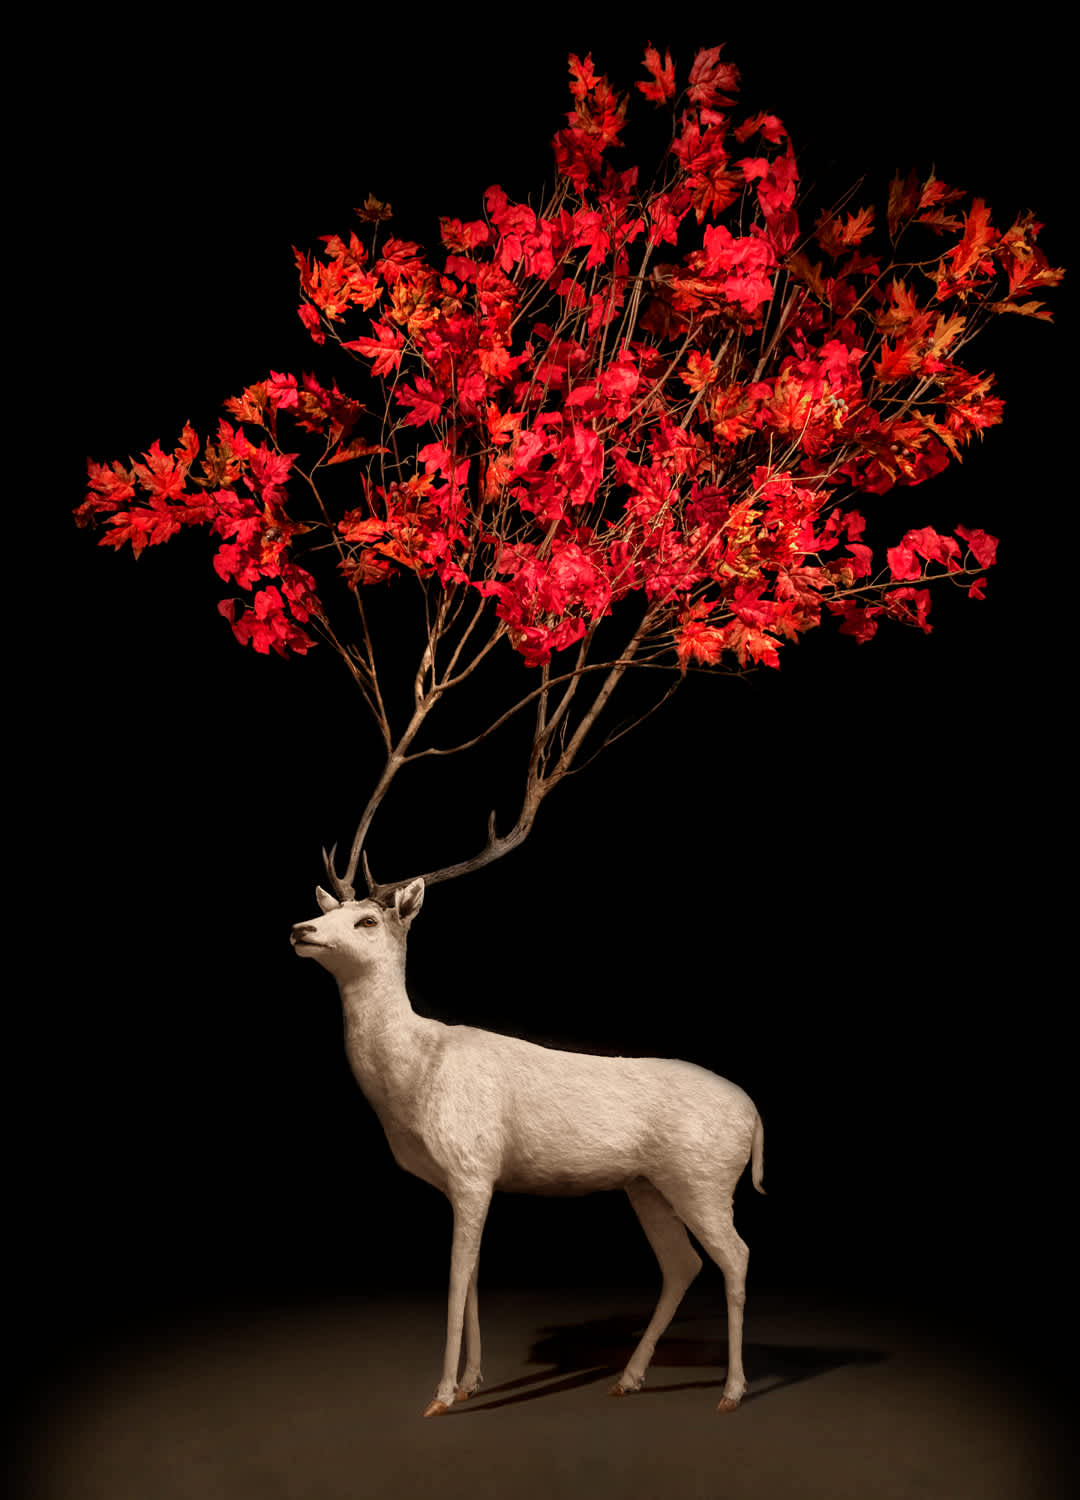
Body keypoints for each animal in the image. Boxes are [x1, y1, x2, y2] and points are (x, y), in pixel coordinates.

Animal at [291, 824, 766, 1417]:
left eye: (367, 921)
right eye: (330, 910)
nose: (300, 930)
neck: (417, 1075)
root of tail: (755, 1117)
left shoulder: (473, 1170)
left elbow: (456, 1276)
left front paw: (441, 1395)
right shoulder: (468, 1184)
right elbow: (473, 1274)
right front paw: (472, 1381)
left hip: (704, 1181)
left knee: (736, 1257)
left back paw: (731, 1392)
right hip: (647, 1186)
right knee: (683, 1264)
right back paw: (627, 1378)